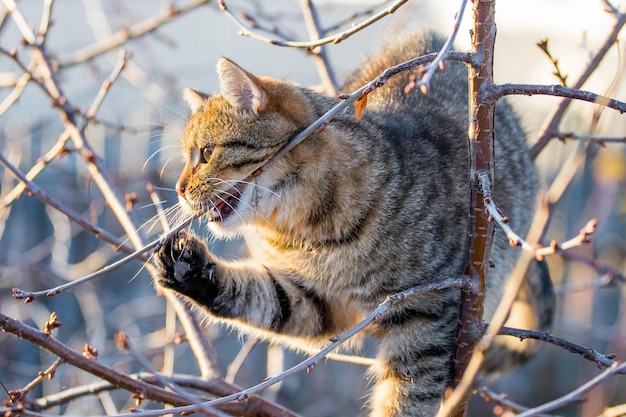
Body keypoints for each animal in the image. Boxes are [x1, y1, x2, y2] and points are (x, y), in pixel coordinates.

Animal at [155, 32, 552, 416]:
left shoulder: (425, 309)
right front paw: (190, 270)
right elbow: (260, 297)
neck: (307, 231)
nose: (178, 188)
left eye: (207, 153)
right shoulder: (315, 300)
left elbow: (407, 395)